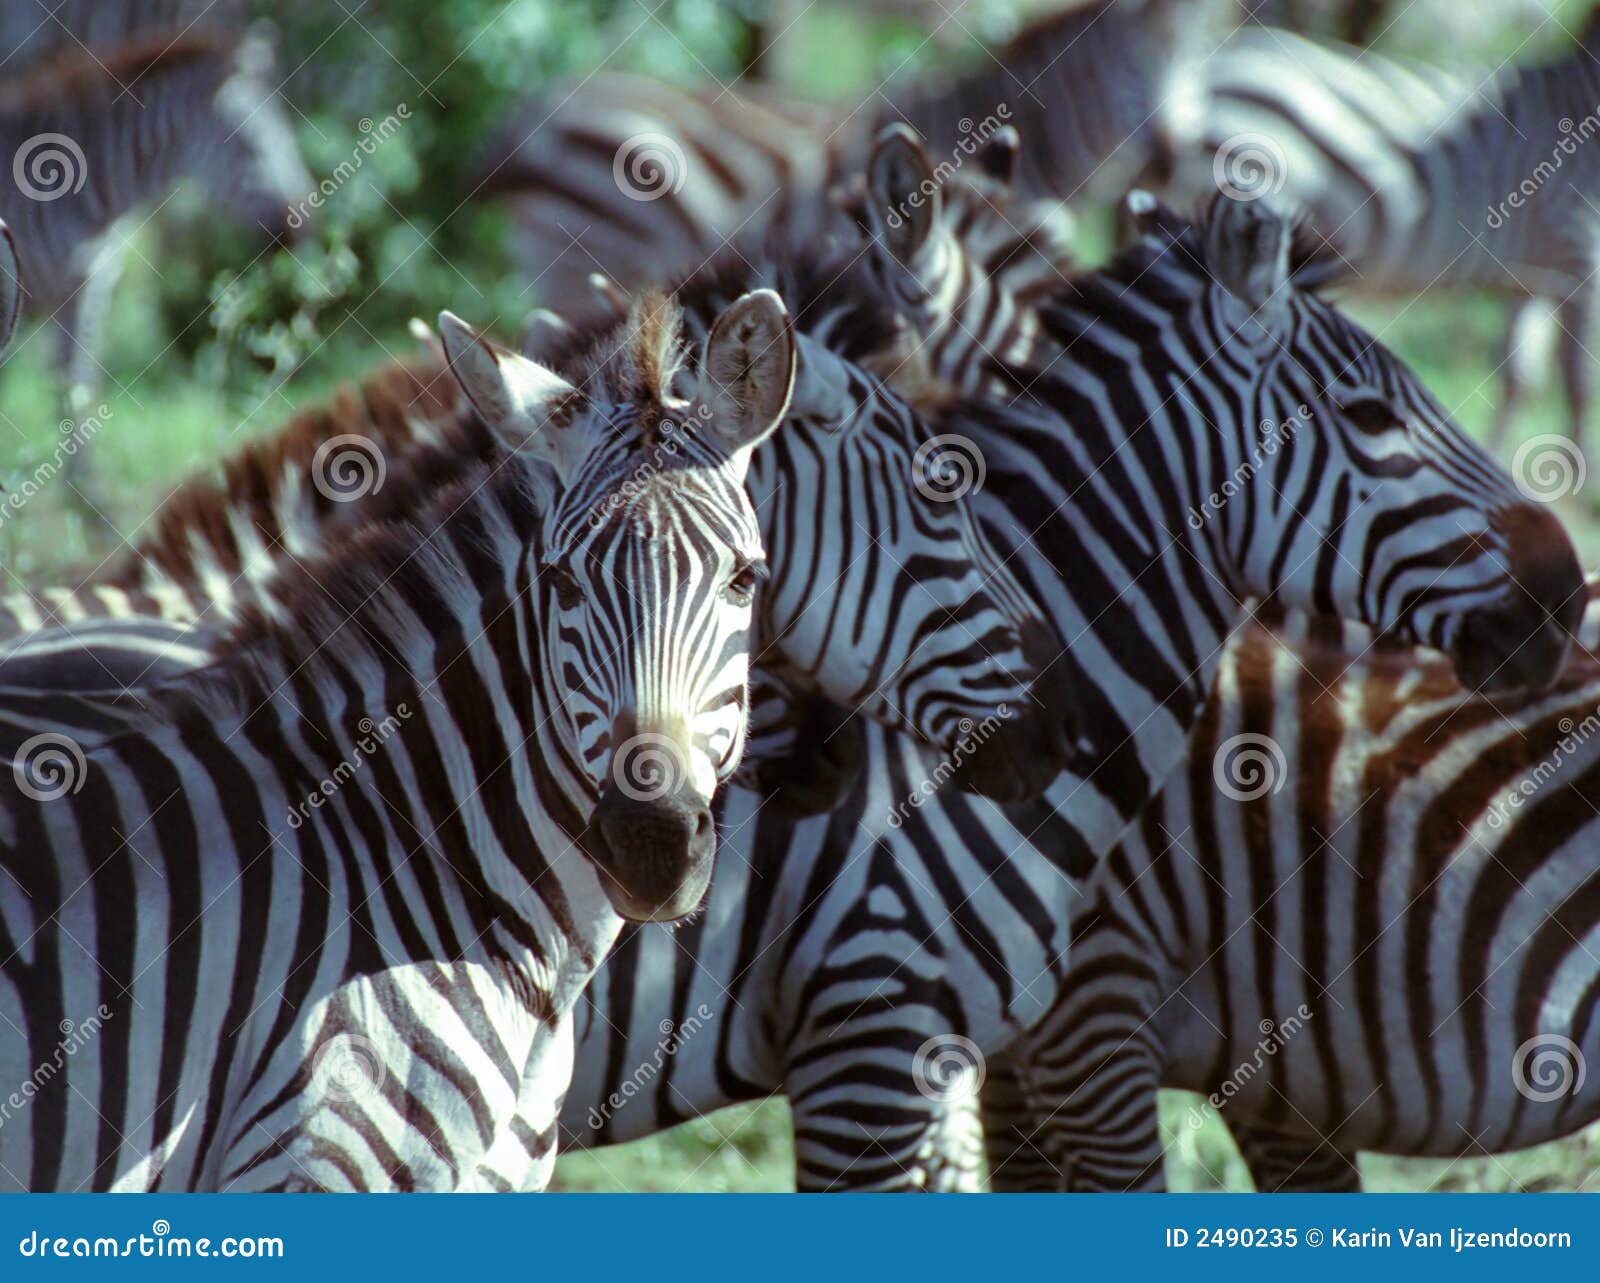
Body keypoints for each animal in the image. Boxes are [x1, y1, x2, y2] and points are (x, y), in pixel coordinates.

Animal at [0, 25, 311, 501]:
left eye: (287, 131)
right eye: (247, 143)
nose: (309, 224)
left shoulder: (88, 287)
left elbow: (77, 382)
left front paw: (83, 494)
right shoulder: (63, 288)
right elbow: (70, 383)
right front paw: (84, 497)